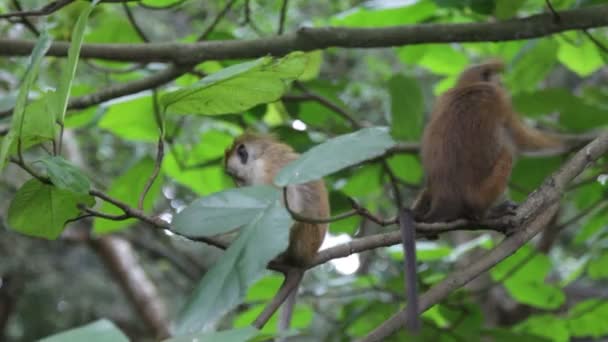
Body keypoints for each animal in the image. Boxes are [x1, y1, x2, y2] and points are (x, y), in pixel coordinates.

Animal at [223, 132, 328, 334]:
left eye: (235, 177)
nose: (238, 187)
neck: (261, 153)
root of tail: (307, 256)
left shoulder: (267, 168)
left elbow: (288, 205)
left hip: (300, 240)